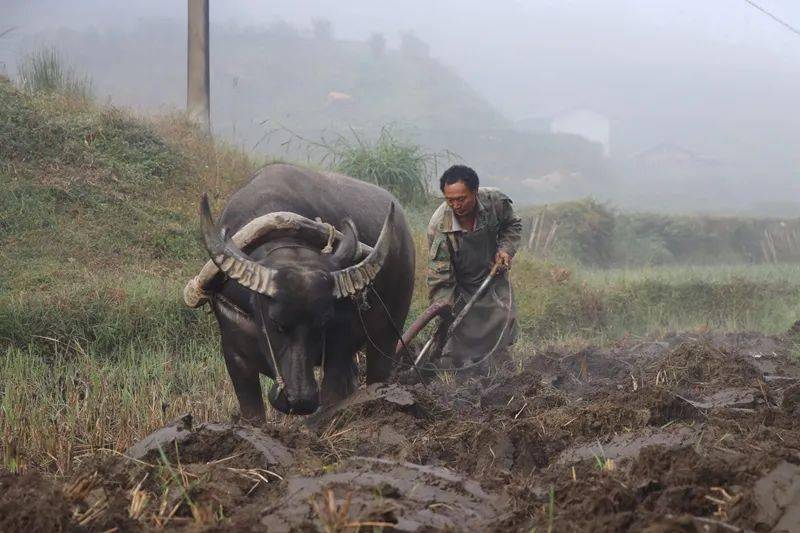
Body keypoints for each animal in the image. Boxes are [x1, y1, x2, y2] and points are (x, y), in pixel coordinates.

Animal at [184, 162, 416, 420]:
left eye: (323, 322)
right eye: (276, 323)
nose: (301, 401)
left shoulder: (340, 346)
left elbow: (331, 398)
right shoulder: (234, 354)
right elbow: (253, 414)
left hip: (387, 332)